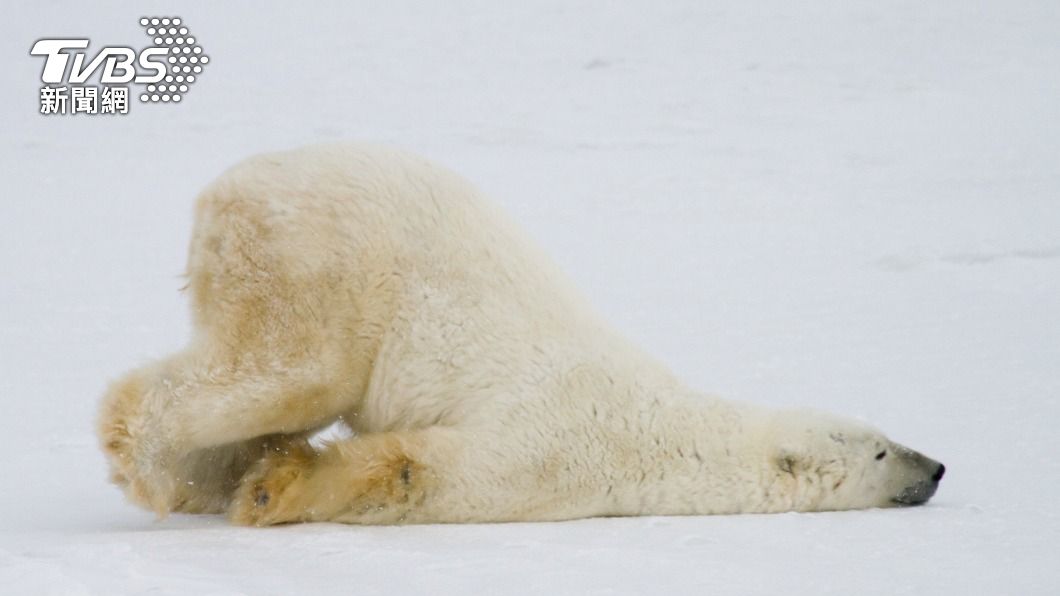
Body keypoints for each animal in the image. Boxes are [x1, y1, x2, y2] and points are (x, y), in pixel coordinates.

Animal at [98, 143, 945, 525]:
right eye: (879, 448)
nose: (936, 466)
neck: (664, 431)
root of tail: (228, 186)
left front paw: (266, 481)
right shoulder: (554, 446)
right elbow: (421, 473)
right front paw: (276, 490)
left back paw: (202, 477)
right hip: (321, 262)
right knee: (290, 370)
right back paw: (152, 459)